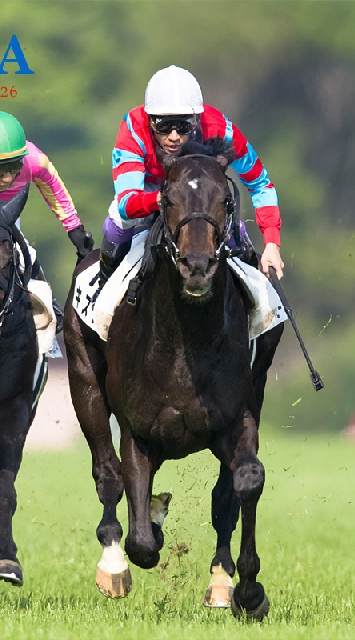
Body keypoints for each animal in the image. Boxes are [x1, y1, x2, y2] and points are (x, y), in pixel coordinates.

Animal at [65, 140, 286, 620]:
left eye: (226, 201)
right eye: (166, 200)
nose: (197, 266)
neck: (187, 341)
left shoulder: (237, 418)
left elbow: (244, 483)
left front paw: (247, 591)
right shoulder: (138, 431)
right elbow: (142, 541)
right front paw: (141, 538)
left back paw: (219, 580)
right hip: (82, 381)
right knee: (107, 474)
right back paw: (113, 565)